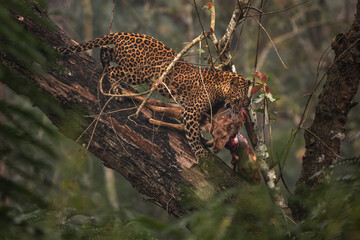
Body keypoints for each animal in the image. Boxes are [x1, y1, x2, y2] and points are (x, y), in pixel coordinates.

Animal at [59, 31, 250, 159]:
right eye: (240, 99)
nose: (245, 107)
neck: (221, 88)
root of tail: (124, 33)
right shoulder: (190, 111)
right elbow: (193, 133)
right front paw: (202, 155)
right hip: (138, 72)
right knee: (113, 71)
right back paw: (117, 91)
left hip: (123, 58)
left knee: (106, 50)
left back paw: (104, 62)